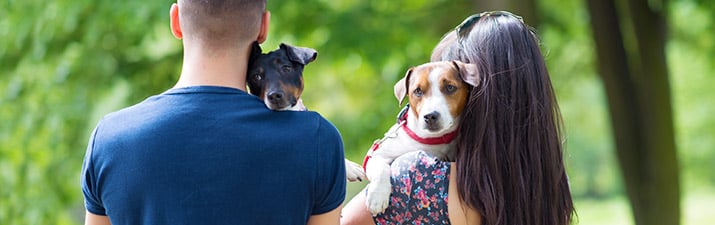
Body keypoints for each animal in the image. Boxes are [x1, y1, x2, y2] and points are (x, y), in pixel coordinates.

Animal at [364, 60, 482, 215]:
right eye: (418, 91)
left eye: (450, 87)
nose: (430, 116)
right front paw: (377, 197)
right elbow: (380, 169)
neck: (434, 140)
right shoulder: (378, 154)